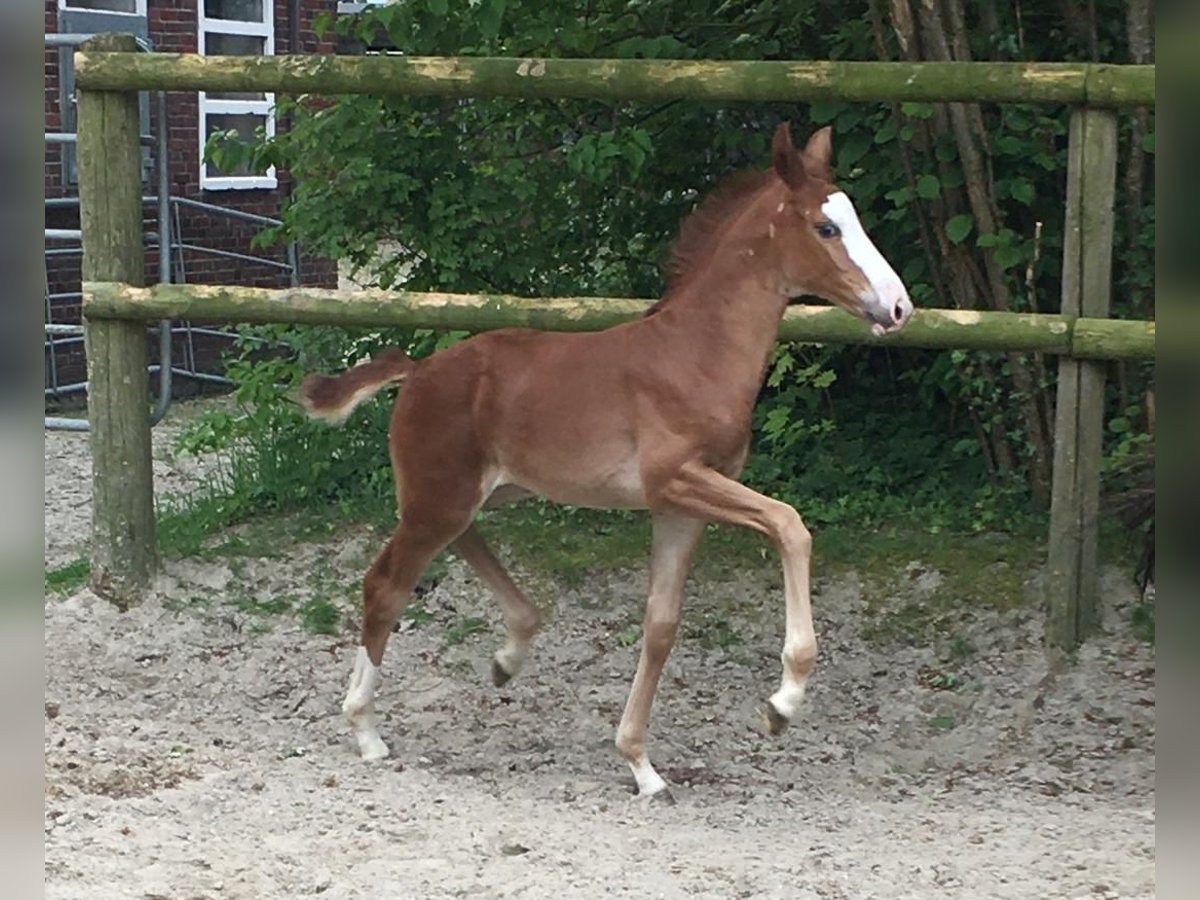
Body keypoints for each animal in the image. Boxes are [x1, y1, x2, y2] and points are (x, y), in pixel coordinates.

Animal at [300, 123, 907, 801]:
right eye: (825, 228)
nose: (898, 306)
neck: (695, 354)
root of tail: (418, 370)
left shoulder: (682, 505)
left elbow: (661, 625)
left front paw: (641, 765)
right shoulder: (677, 479)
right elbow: (789, 525)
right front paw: (782, 703)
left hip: (473, 493)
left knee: (460, 545)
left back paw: (509, 654)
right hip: (441, 497)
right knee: (386, 584)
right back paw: (367, 731)